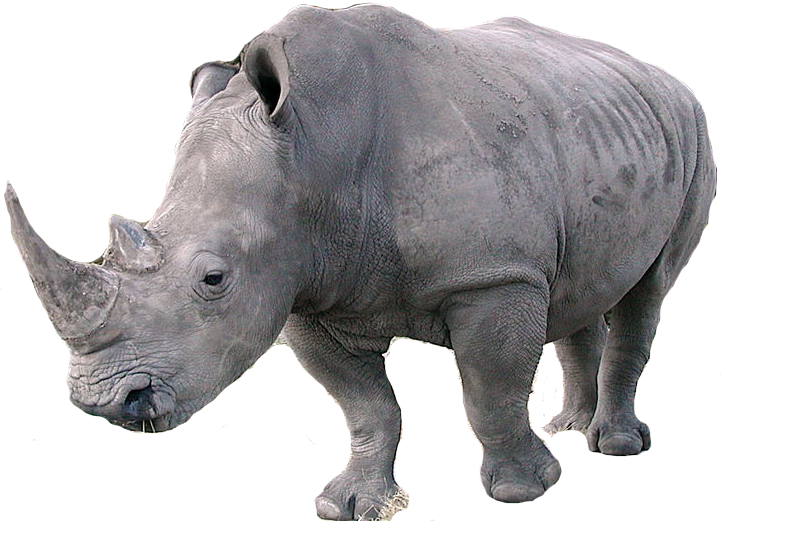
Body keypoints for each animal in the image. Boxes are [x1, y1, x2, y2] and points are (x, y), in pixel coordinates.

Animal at [6, 4, 716, 521]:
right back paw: (567, 425)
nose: (102, 402)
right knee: (580, 286)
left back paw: (614, 445)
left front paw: (523, 492)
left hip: (694, 133)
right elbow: (366, 407)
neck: (314, 153)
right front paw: (349, 504)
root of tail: (665, 76)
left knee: (648, 292)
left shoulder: (493, 276)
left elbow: (489, 390)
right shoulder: (304, 289)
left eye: (213, 279)